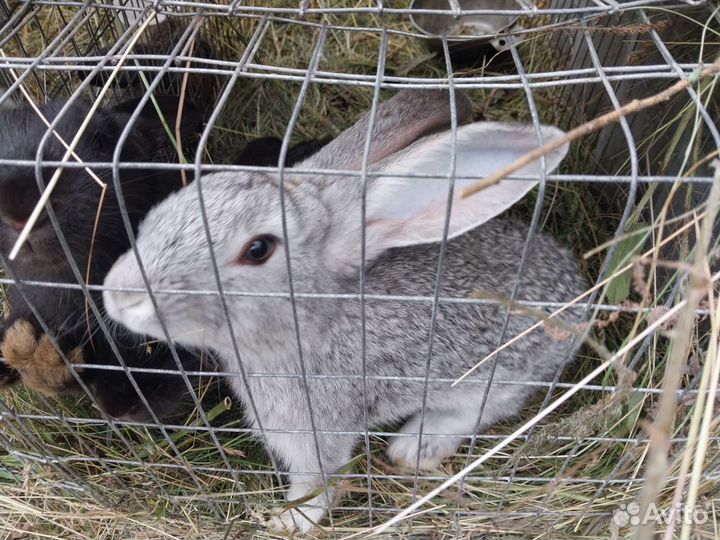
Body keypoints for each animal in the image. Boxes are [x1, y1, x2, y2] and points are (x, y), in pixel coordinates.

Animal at [103, 89, 587, 530]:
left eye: (258, 250)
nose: (118, 294)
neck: (310, 323)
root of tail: (580, 297)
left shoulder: (316, 433)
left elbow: (319, 481)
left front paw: (288, 520)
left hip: (498, 378)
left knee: (485, 410)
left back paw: (414, 446)